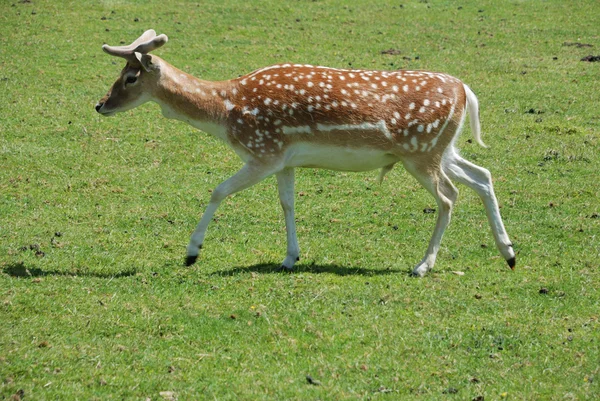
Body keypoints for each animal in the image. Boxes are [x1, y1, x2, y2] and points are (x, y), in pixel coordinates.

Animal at [95, 29, 516, 276]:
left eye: (129, 77)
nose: (99, 105)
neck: (226, 111)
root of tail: (465, 90)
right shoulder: (284, 159)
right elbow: (287, 203)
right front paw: (289, 257)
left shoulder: (262, 151)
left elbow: (218, 190)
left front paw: (191, 253)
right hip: (442, 148)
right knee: (482, 176)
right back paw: (509, 253)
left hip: (421, 151)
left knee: (449, 196)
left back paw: (422, 266)